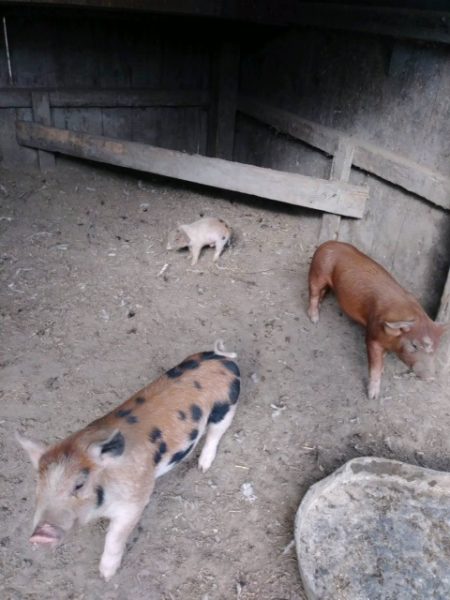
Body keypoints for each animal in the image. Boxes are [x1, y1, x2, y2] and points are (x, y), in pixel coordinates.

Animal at [16, 342, 243, 580]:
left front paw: (106, 576)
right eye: (39, 485)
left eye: (79, 484)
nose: (39, 535)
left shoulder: (135, 501)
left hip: (226, 405)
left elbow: (115, 537)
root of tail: (221, 356)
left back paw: (203, 467)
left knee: (216, 432)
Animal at [308, 239, 444, 398]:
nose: (430, 377)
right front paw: (373, 396)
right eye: (414, 345)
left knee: (323, 292)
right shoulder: (372, 334)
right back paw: (314, 319)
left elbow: (382, 358)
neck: (391, 341)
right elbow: (375, 364)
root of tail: (327, 243)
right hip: (317, 271)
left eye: (435, 348)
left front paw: (383, 370)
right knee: (314, 292)